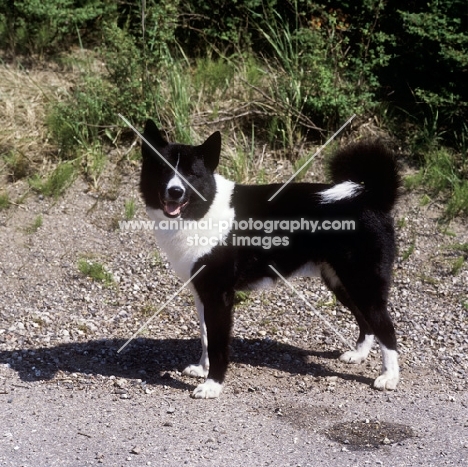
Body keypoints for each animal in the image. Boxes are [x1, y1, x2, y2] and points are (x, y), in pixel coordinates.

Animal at [141, 119, 400, 398]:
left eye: (191, 174)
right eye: (161, 169)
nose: (175, 192)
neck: (202, 210)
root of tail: (370, 196)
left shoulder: (219, 296)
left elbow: (218, 343)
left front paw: (212, 385)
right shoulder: (202, 292)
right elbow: (205, 336)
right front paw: (202, 369)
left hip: (361, 281)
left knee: (386, 328)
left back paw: (389, 377)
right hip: (340, 282)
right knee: (366, 322)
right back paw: (359, 355)